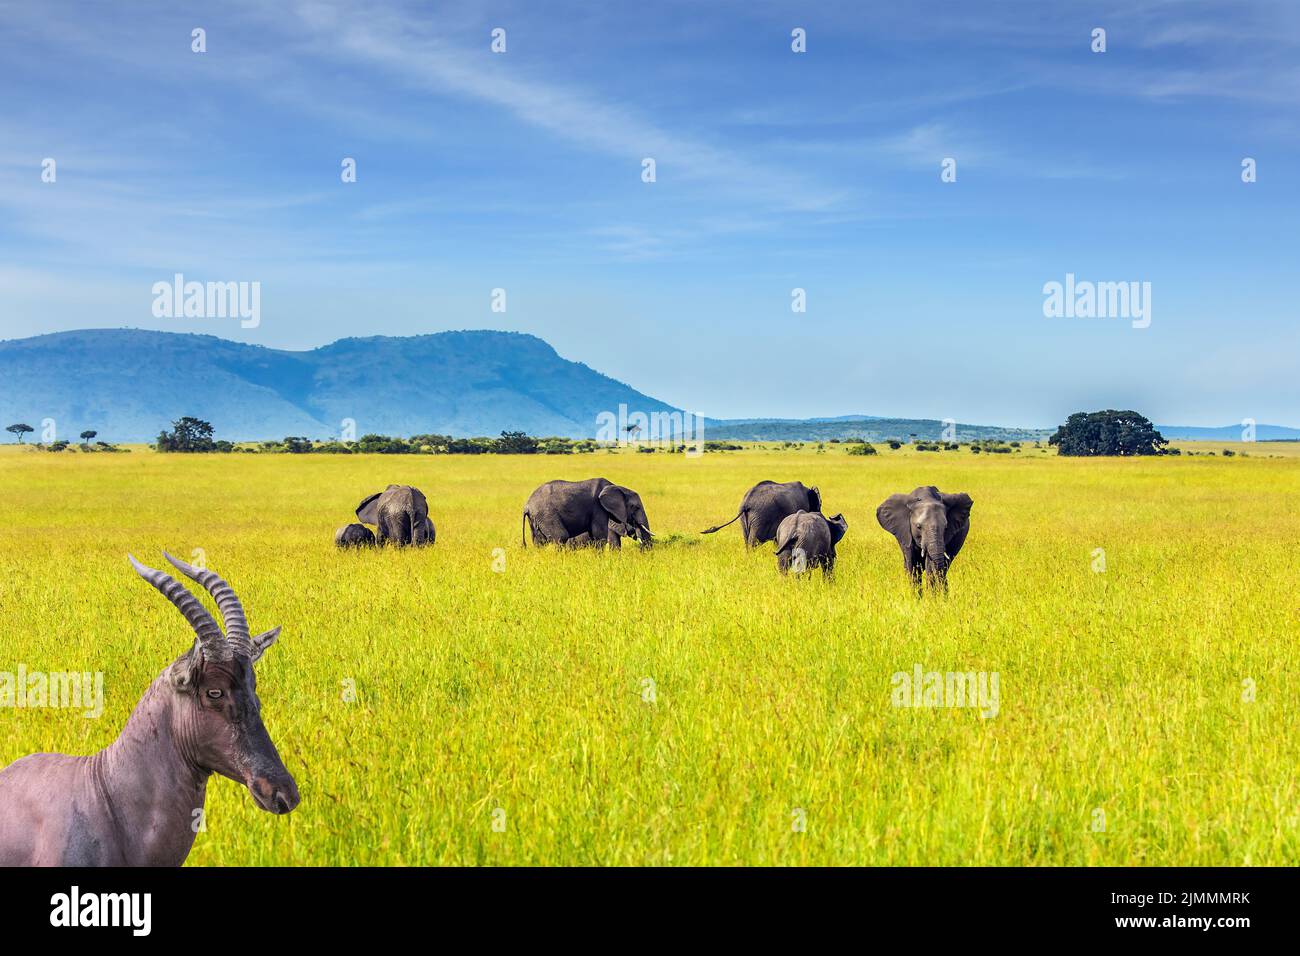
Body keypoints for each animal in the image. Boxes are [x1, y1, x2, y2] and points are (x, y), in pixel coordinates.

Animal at [522, 476, 655, 548]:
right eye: (635, 507)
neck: (617, 487)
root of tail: (527, 506)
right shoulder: (598, 508)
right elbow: (600, 536)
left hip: (536, 518)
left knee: (539, 541)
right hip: (546, 514)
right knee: (561, 537)